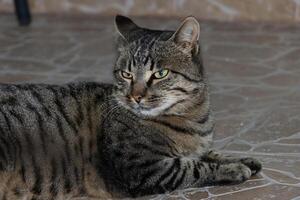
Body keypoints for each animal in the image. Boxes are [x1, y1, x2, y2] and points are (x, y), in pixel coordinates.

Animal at [0, 14, 262, 199]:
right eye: (126, 74)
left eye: (160, 73)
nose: (136, 96)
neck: (192, 116)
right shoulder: (143, 168)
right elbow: (193, 167)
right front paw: (235, 169)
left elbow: (210, 153)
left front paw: (244, 160)